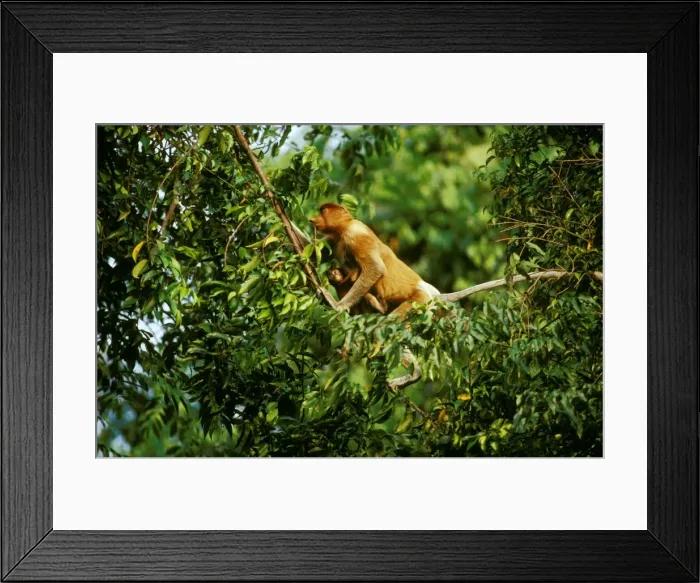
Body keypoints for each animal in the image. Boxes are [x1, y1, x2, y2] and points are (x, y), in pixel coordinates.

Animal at [309, 203, 440, 317]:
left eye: (322, 212)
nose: (313, 219)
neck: (344, 227)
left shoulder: (355, 235)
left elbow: (376, 268)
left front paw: (337, 306)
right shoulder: (333, 238)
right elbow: (312, 256)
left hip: (420, 299)